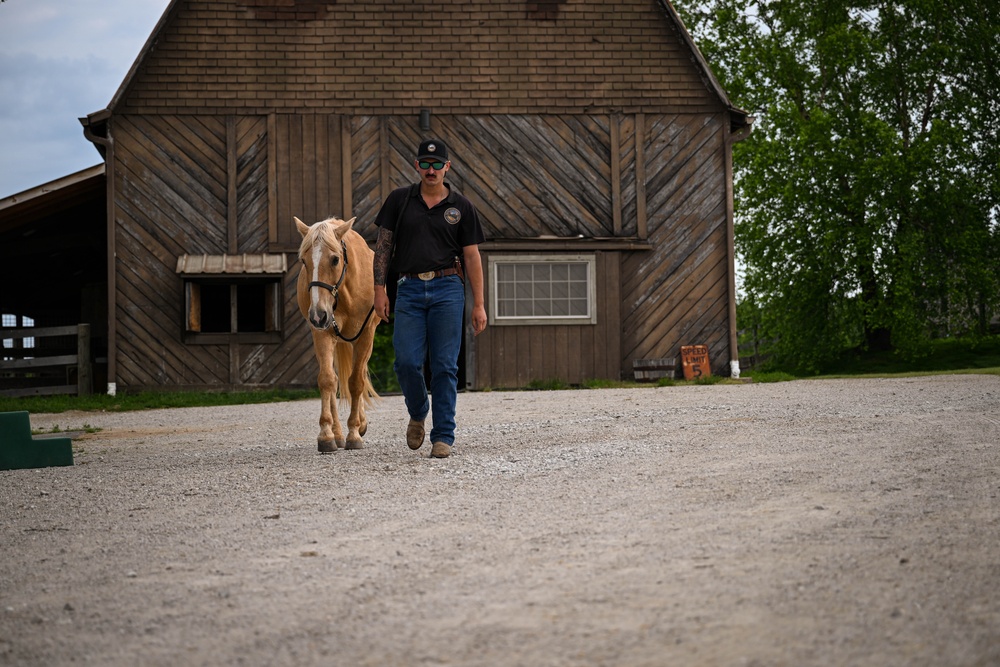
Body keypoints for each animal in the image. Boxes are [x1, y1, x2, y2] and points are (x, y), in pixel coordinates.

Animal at [294, 217, 380, 452]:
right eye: (304, 261)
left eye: (334, 259)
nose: (318, 314)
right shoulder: (322, 334)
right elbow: (327, 380)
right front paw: (326, 435)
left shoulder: (365, 335)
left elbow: (356, 382)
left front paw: (355, 433)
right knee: (333, 380)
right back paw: (338, 433)